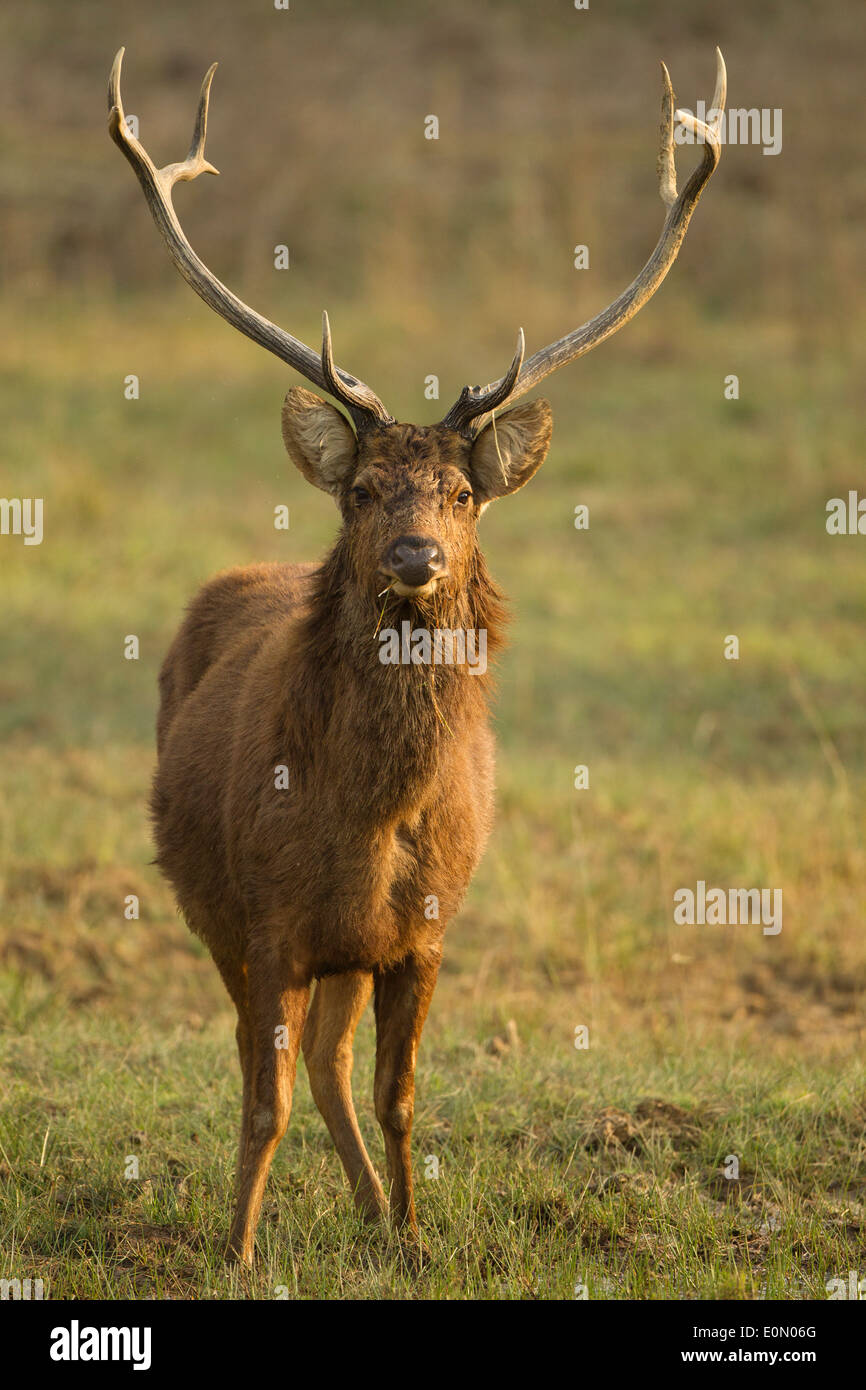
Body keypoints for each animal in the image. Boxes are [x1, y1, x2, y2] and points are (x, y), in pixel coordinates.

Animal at [108, 45, 726, 1265]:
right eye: (360, 490)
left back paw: (366, 1210)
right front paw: (238, 1252)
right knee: (283, 1062)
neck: (368, 813)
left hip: (350, 952)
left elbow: (398, 1096)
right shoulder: (265, 917)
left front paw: (411, 1232)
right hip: (211, 904)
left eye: (460, 493)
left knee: (337, 1061)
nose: (414, 556)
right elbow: (260, 1097)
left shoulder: (423, 931)